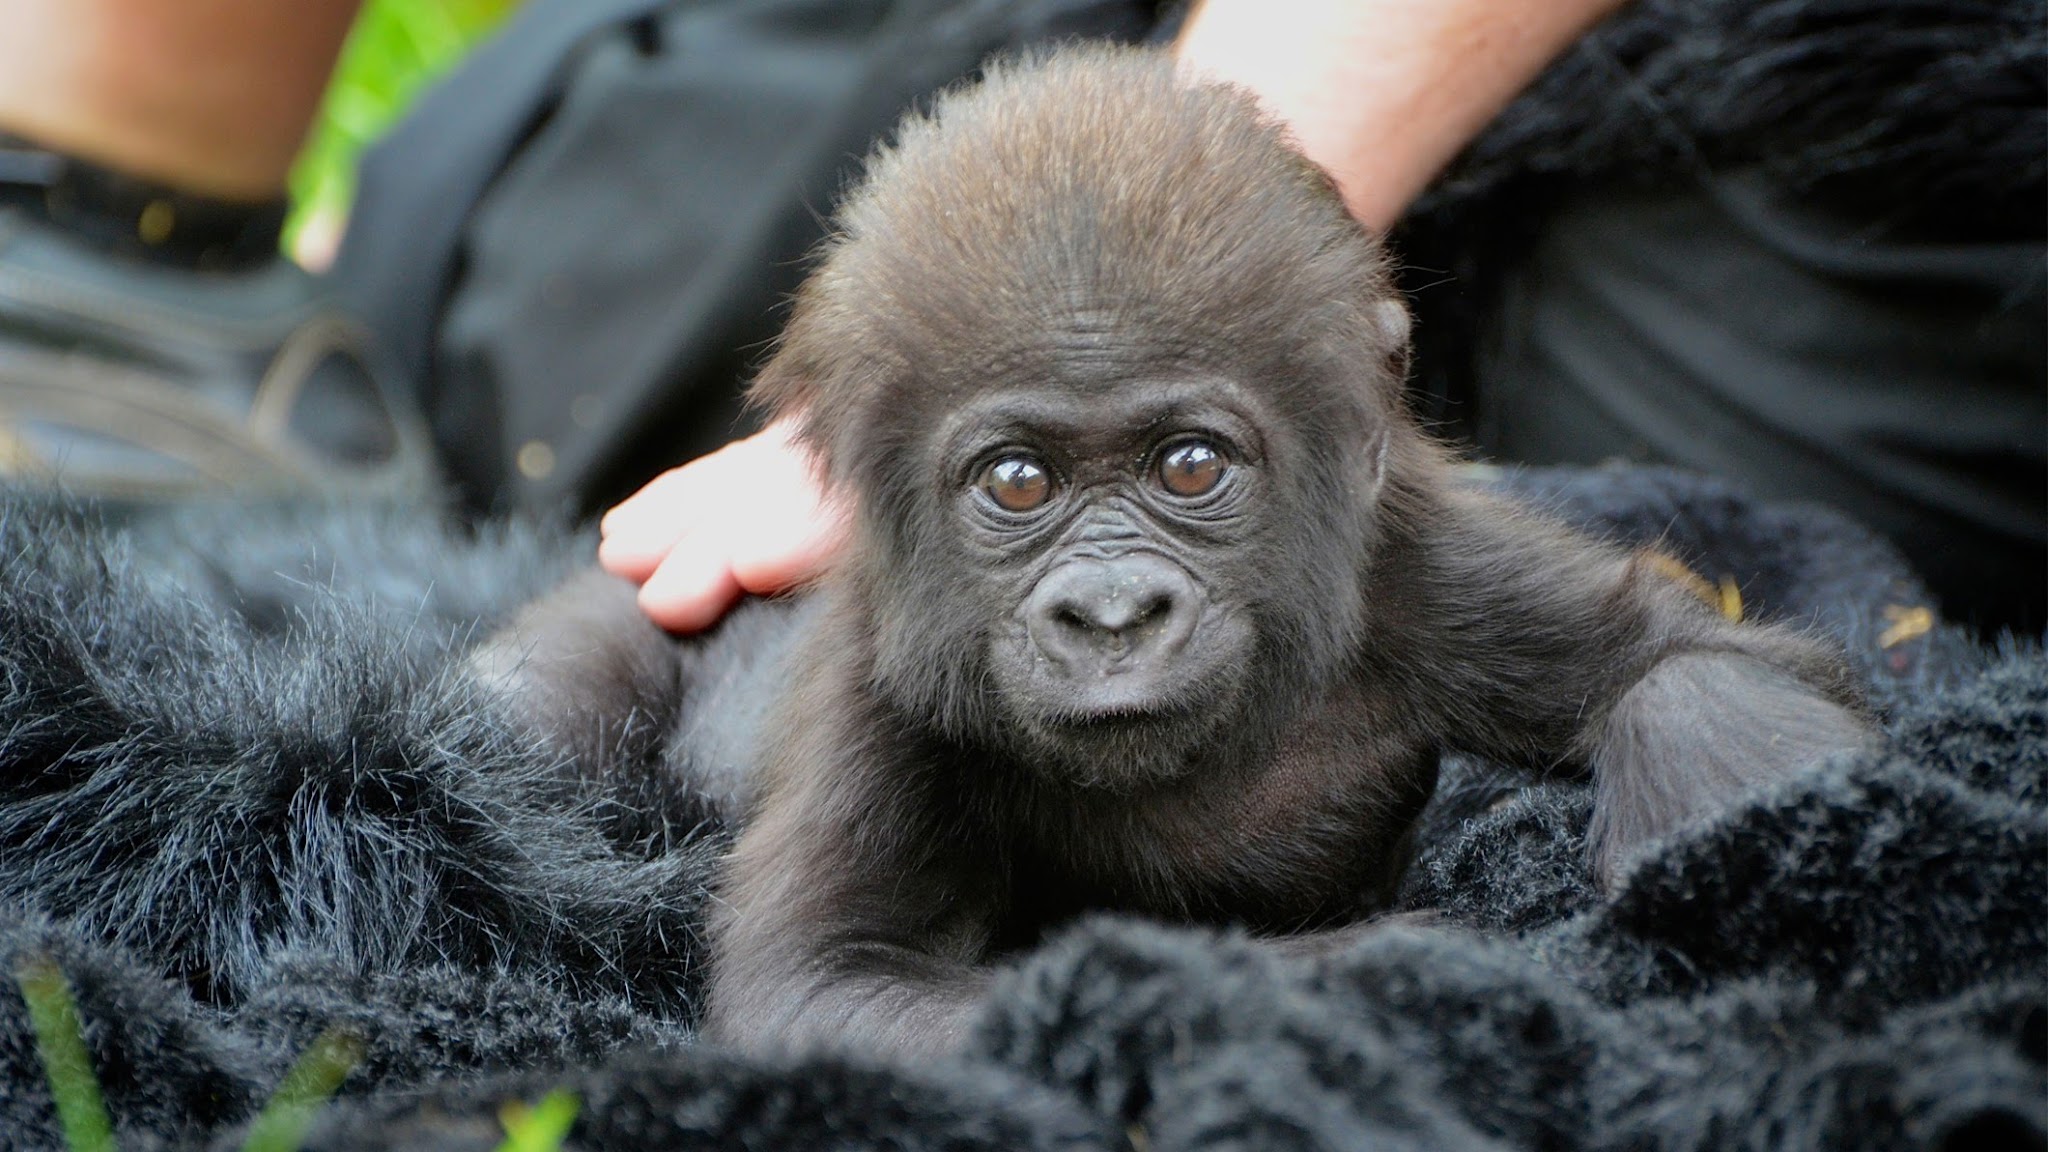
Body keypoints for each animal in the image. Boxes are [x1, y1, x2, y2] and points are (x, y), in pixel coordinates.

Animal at [479, 42, 1875, 1049]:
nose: (1109, 615)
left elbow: (1695, 659)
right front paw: (1379, 966)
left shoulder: (1415, 566)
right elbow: (831, 985)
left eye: (1189, 468)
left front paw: (1724, 817)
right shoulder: (880, 687)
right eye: (1018, 482)